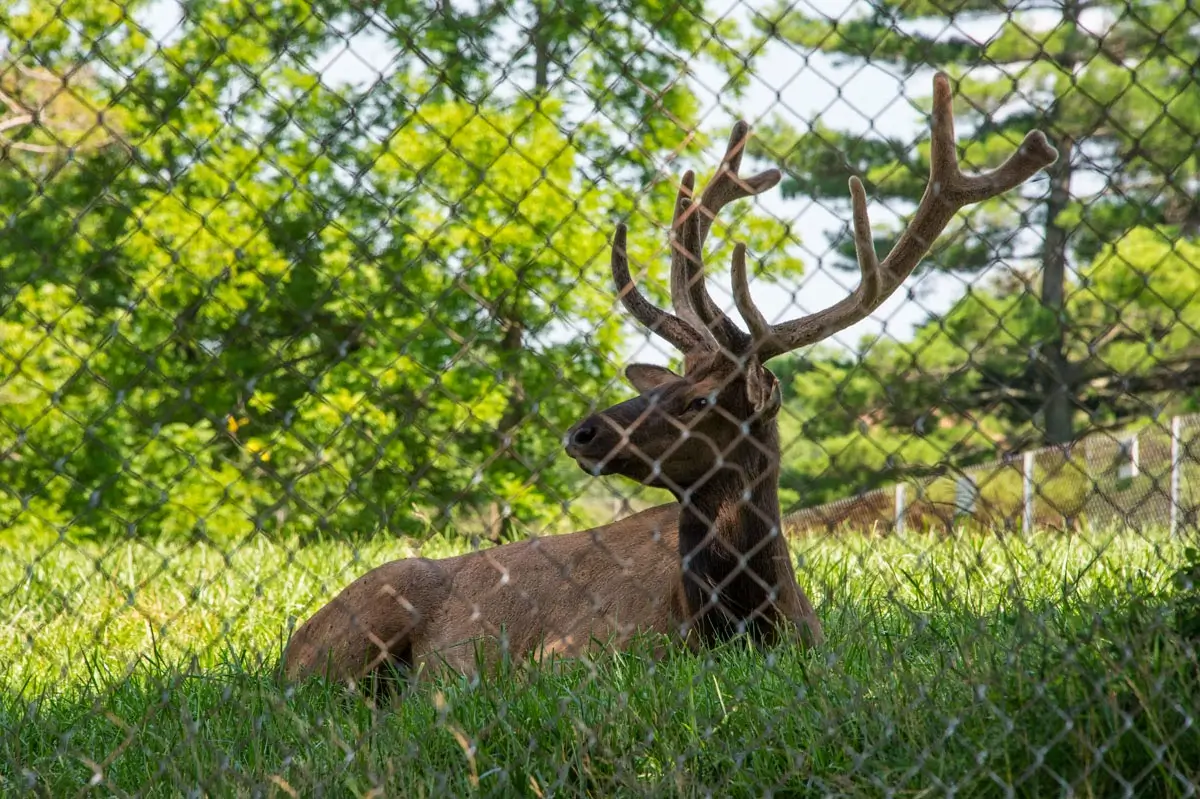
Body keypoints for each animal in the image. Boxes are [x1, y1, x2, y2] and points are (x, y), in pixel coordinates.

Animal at [285, 74, 1056, 686]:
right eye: (658, 385)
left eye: (698, 398)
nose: (583, 431)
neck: (739, 627)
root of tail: (287, 647)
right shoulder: (571, 655)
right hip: (370, 612)